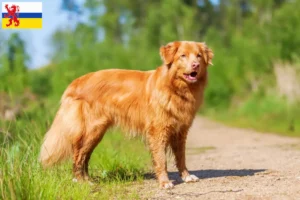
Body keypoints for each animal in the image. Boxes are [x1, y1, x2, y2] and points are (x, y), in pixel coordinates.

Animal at [39, 41, 213, 189]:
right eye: (183, 55)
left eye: (198, 56)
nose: (196, 65)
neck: (176, 88)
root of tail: (75, 82)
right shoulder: (158, 131)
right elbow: (161, 159)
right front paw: (165, 182)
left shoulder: (181, 130)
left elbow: (181, 156)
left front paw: (186, 176)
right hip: (91, 129)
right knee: (78, 155)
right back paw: (81, 181)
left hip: (96, 133)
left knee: (85, 156)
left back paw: (87, 179)